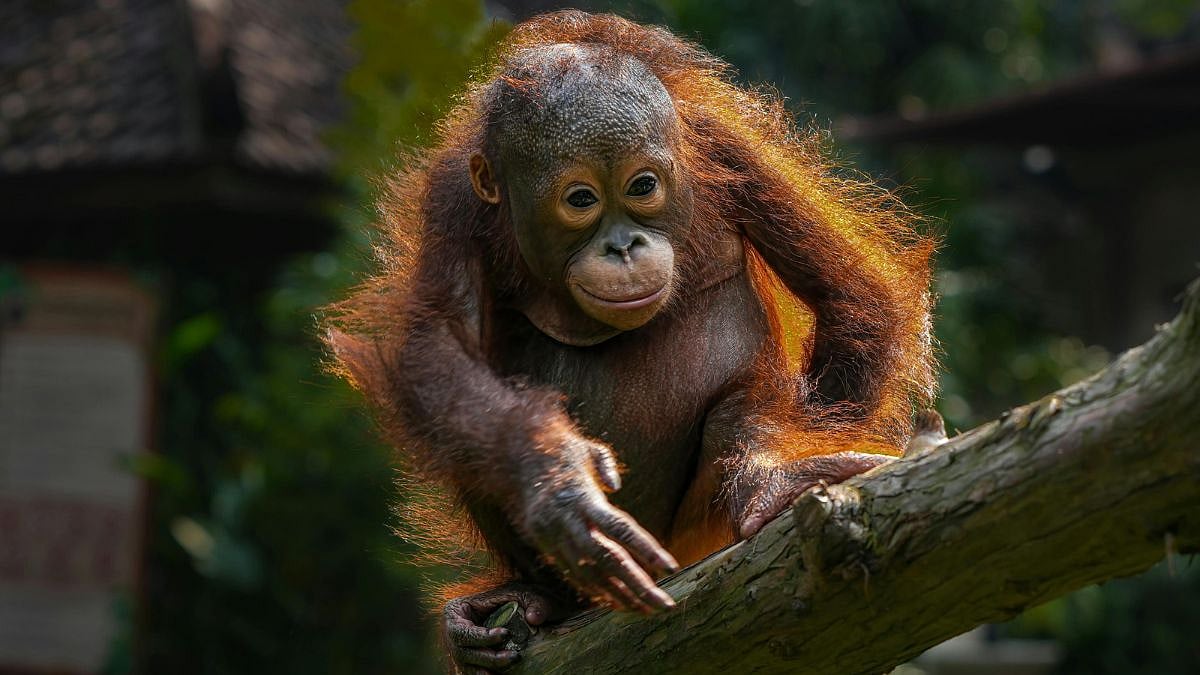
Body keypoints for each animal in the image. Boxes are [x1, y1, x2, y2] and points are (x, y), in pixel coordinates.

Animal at [325, 11, 935, 673]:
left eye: (642, 186)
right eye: (581, 199)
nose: (623, 246)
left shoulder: (725, 146)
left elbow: (848, 291)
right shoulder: (454, 200)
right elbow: (439, 349)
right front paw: (558, 484)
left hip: (693, 529)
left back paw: (764, 483)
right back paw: (540, 597)